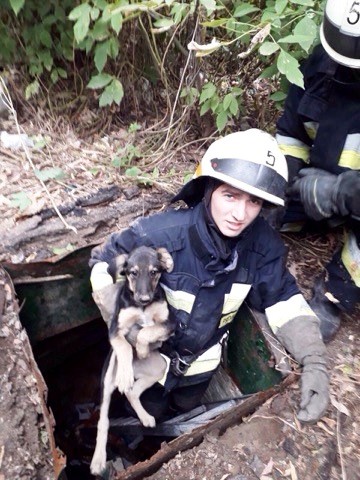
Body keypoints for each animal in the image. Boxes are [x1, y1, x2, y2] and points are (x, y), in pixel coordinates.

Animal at [90, 248, 174, 476]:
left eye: (154, 272)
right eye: (133, 273)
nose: (144, 298)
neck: (142, 308)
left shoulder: (168, 323)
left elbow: (147, 331)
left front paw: (143, 349)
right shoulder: (116, 330)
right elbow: (127, 347)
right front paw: (125, 374)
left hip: (159, 367)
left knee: (132, 393)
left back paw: (145, 417)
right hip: (107, 379)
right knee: (103, 422)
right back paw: (98, 461)